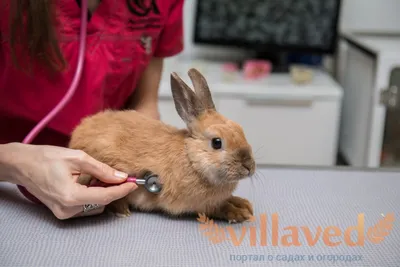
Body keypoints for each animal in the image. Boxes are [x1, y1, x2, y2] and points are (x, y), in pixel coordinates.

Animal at [68, 68, 256, 223]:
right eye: (217, 142)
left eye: (240, 129)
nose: (249, 167)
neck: (192, 160)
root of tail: (77, 134)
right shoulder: (202, 204)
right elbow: (219, 208)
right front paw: (239, 213)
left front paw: (243, 204)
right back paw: (122, 211)